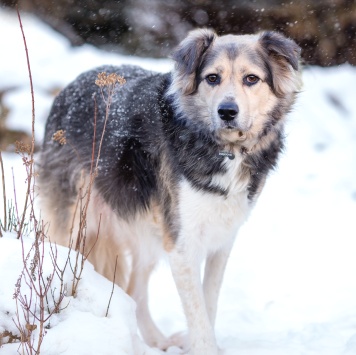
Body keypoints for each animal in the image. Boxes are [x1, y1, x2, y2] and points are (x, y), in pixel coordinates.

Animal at [38, 29, 300, 354]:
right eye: (212, 78)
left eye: (251, 79)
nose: (227, 111)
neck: (223, 149)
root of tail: (66, 91)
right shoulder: (181, 245)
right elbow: (197, 311)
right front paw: (203, 348)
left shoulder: (222, 240)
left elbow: (209, 302)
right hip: (74, 226)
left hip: (147, 236)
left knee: (134, 292)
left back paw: (154, 340)